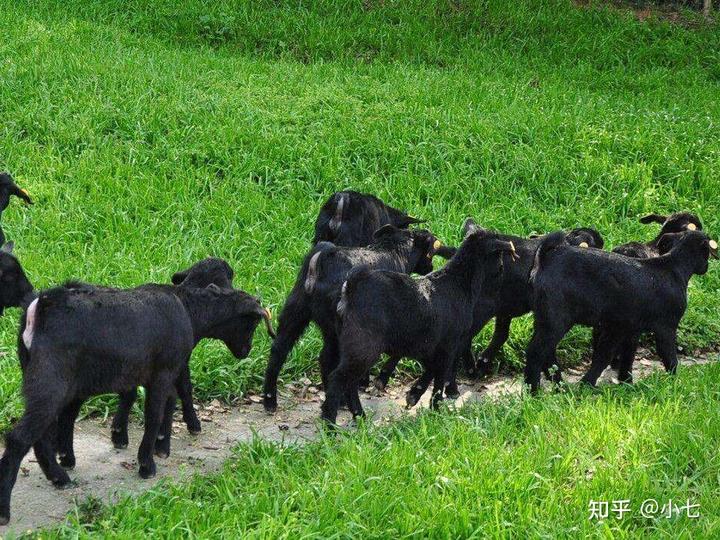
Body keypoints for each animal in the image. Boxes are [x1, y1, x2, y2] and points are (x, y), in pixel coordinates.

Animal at [264, 226, 444, 412]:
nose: (431, 267)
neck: (394, 252)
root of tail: (324, 257)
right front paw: (378, 380)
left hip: (296, 311)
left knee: (279, 349)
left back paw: (270, 400)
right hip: (336, 326)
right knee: (331, 361)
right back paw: (342, 401)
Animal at [322, 230, 516, 424]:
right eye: (499, 258)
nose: (502, 272)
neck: (458, 282)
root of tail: (351, 289)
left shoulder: (430, 346)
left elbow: (433, 369)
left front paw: (415, 396)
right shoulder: (449, 344)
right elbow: (440, 378)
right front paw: (435, 409)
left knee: (350, 382)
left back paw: (359, 416)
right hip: (363, 346)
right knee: (338, 380)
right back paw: (330, 423)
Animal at [524, 229, 716, 392]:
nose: (706, 267)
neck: (673, 266)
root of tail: (547, 257)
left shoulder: (625, 328)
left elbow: (617, 356)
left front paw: (624, 382)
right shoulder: (666, 328)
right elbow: (669, 356)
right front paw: (675, 382)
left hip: (545, 319)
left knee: (546, 353)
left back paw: (558, 387)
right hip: (556, 319)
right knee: (536, 352)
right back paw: (534, 391)